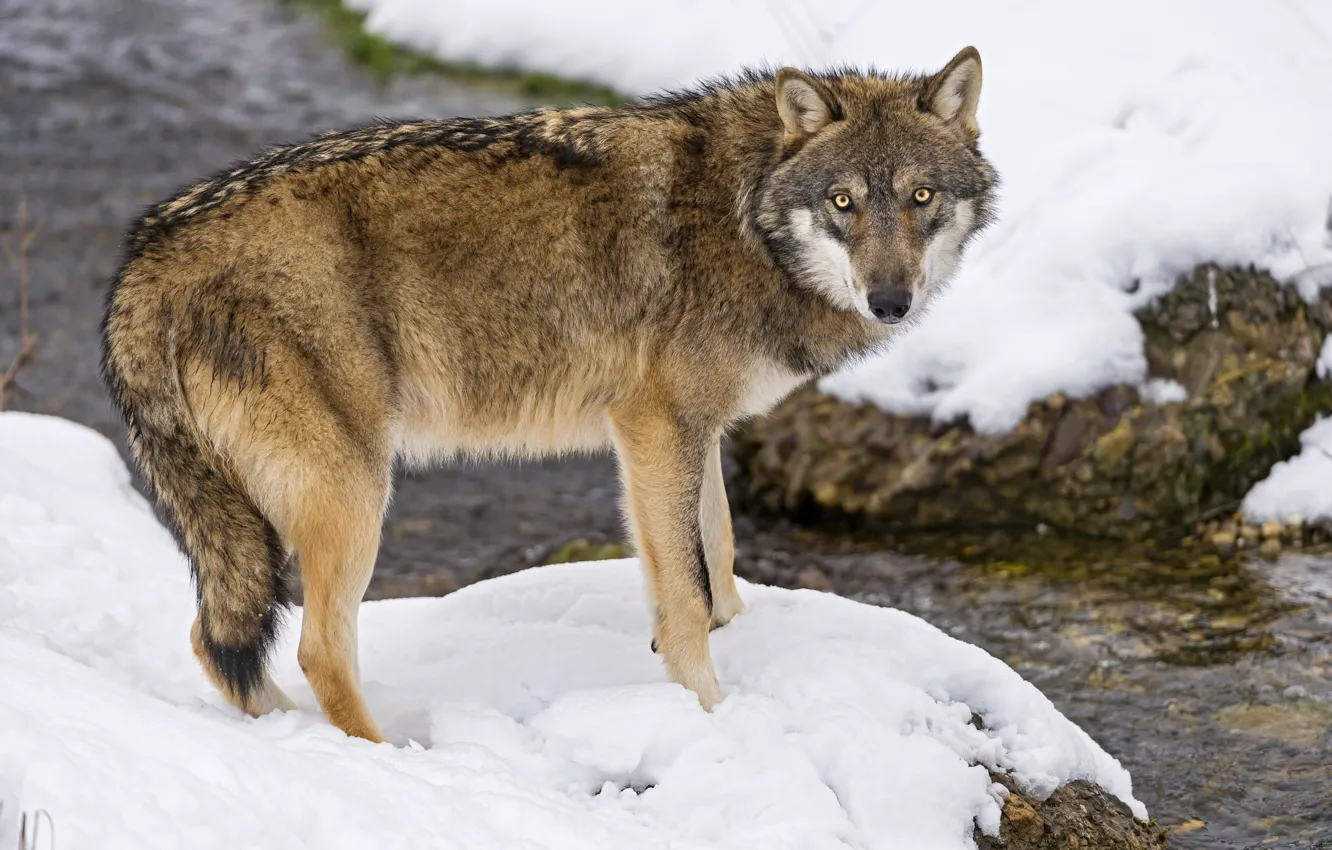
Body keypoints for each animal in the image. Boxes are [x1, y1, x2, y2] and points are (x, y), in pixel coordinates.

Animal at [101, 46, 1001, 740]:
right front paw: (713, 716)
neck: (748, 218)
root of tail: (148, 250)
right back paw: (390, 760)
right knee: (316, 647)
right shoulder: (654, 424)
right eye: (843, 202)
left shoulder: (696, 431)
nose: (891, 300)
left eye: (920, 197)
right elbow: (684, 593)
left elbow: (719, 557)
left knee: (216, 641)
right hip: (352, 488)